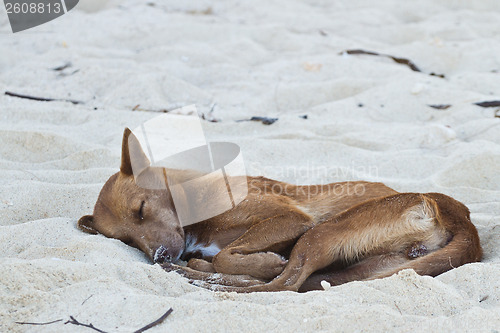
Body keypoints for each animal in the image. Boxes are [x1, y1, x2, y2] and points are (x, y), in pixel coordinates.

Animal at [77, 127, 480, 290]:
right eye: (126, 240)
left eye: (141, 209)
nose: (158, 255)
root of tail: (459, 217)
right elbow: (220, 257)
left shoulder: (291, 217)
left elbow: (226, 256)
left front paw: (262, 262)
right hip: (369, 266)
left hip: (322, 231)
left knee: (282, 286)